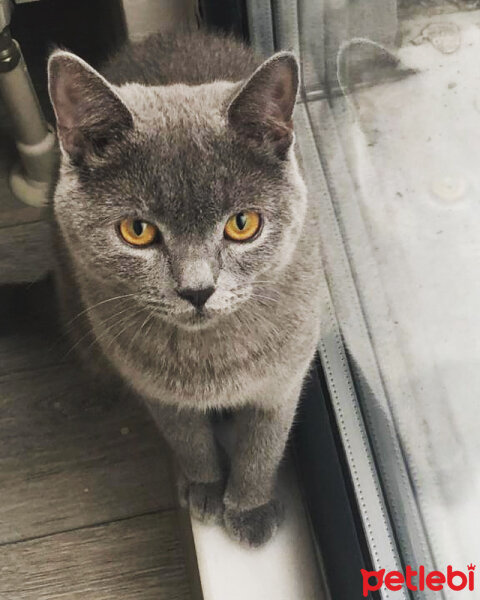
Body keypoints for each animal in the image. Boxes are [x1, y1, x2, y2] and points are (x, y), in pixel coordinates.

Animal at [47, 29, 320, 548]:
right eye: (136, 230)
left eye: (242, 224)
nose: (197, 290)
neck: (210, 361)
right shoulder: (148, 380)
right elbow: (187, 438)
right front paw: (205, 487)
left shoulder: (286, 372)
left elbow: (264, 443)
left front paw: (249, 508)